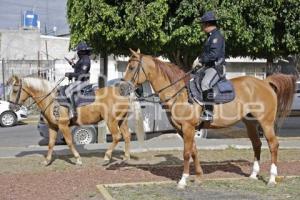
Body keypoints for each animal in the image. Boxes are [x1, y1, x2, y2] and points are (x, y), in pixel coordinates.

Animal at [7, 76, 144, 165]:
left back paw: (106, 157)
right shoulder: (53, 126)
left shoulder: (63, 126)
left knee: (117, 137)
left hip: (111, 121)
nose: (11, 107)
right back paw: (125, 158)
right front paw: (47, 161)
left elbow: (69, 142)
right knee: (126, 136)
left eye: (15, 90)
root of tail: (122, 92)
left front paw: (78, 159)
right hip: (121, 121)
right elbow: (51, 144)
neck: (52, 99)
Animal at [123, 48, 296, 189]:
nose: (123, 88)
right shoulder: (183, 130)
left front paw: (183, 180)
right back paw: (253, 174)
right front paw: (199, 177)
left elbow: (186, 153)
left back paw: (272, 179)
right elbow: (194, 151)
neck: (180, 92)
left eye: (131, 67)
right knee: (257, 144)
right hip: (251, 123)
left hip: (266, 123)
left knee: (273, 145)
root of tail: (265, 82)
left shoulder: (188, 128)